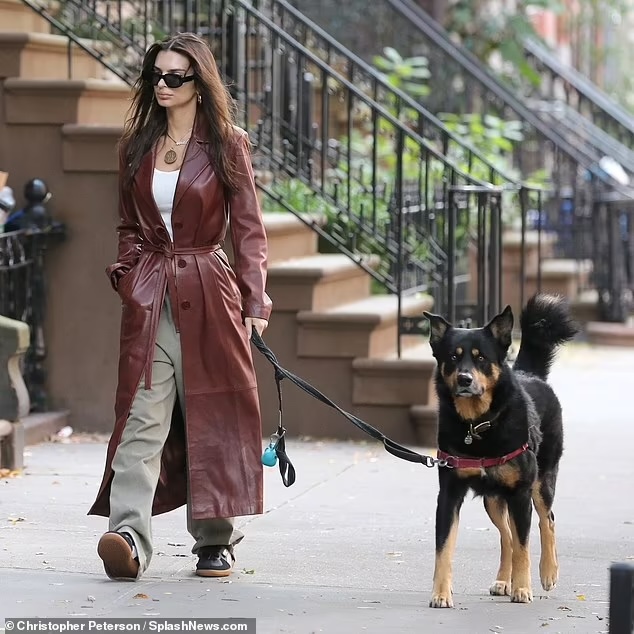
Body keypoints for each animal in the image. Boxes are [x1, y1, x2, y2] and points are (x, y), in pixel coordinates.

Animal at [422, 294, 576, 604]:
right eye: (453, 357)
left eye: (481, 357)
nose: (464, 379)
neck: (478, 424)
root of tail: (530, 373)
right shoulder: (449, 495)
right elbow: (444, 549)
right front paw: (441, 594)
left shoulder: (520, 494)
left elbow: (524, 546)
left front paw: (523, 588)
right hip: (493, 498)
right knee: (506, 536)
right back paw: (504, 580)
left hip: (541, 482)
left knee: (546, 521)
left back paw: (547, 572)